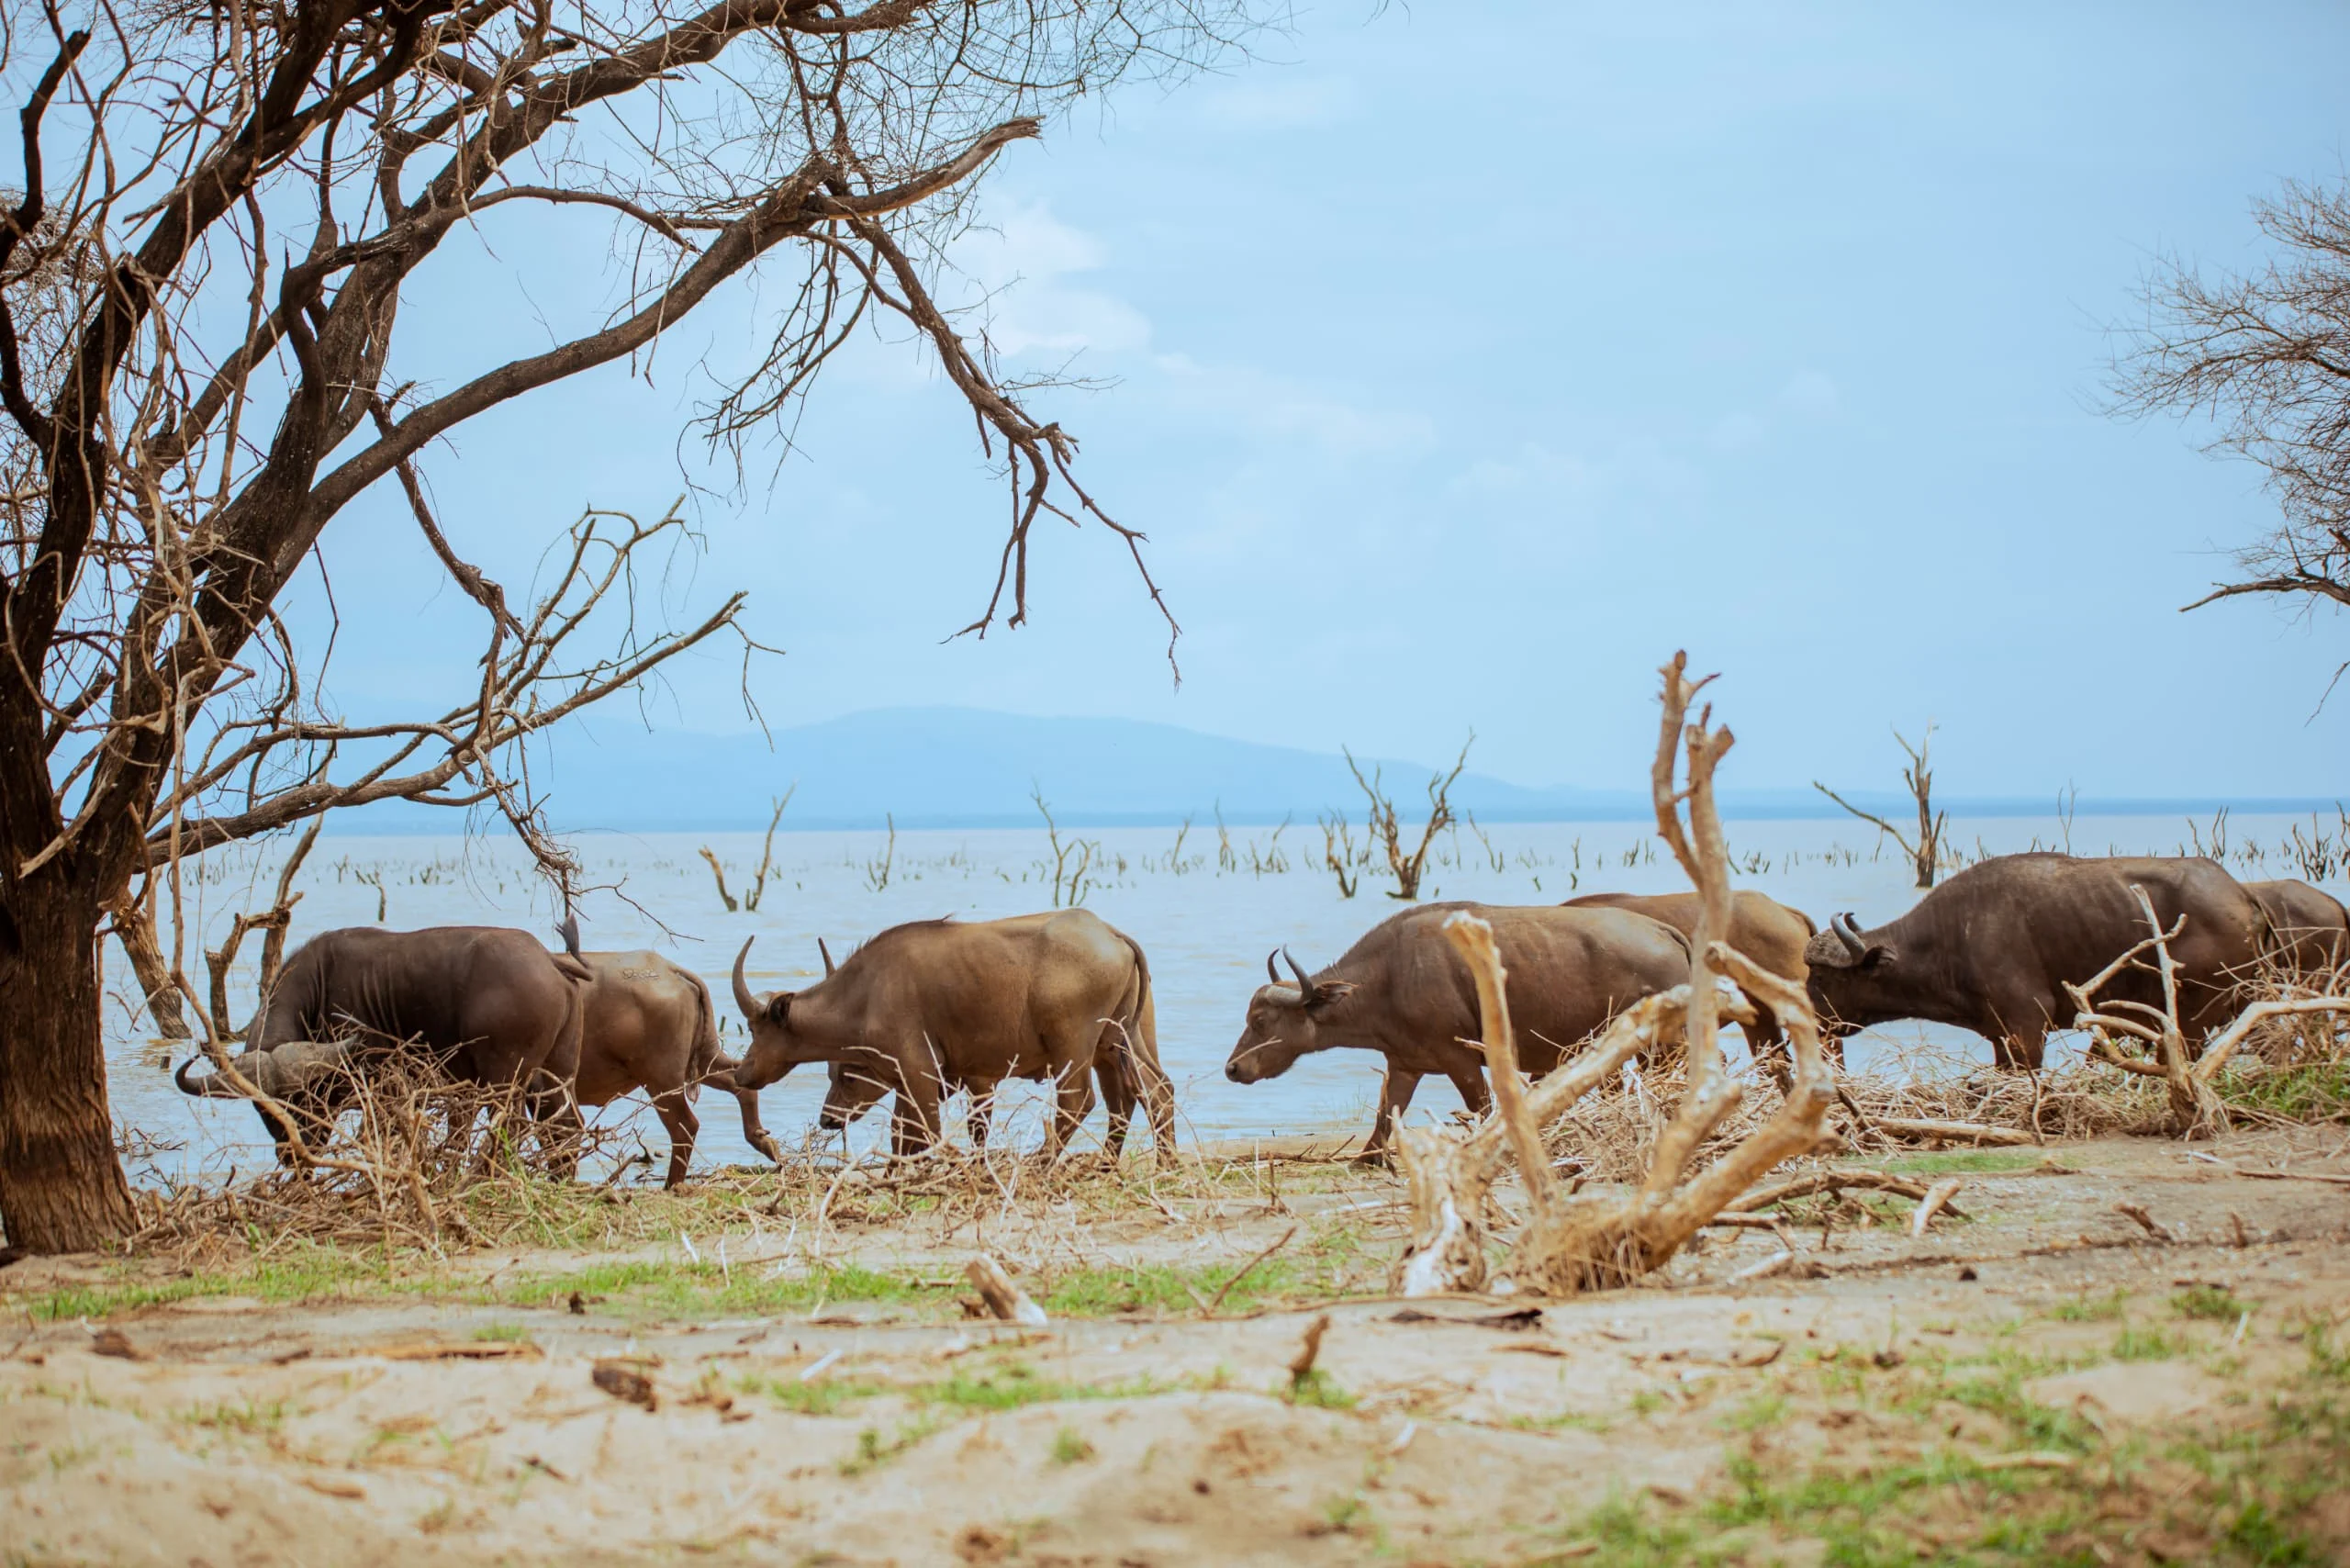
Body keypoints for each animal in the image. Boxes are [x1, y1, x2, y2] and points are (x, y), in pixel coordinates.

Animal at [174, 925, 588, 1158]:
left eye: (306, 1101)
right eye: (267, 1109)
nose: (297, 1151)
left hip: (504, 1079)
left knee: (511, 1128)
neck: (319, 991)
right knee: (564, 1127)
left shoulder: (382, 1094)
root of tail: (547, 959)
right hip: (554, 1074)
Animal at [729, 911, 1174, 1160]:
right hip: (1122, 1044)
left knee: (1080, 1102)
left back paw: (1042, 1162)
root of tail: (1110, 934)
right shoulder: (913, 1082)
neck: (867, 991)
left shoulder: (921, 1073)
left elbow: (926, 1134)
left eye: (754, 1026)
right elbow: (903, 1136)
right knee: (1151, 1094)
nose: (742, 1073)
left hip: (1074, 1050)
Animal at [1223, 901, 1692, 1158]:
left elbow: (1482, 1109)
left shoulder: (1460, 1060)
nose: (1232, 1069)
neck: (1389, 976)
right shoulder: (1405, 1066)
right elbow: (1385, 1116)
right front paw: (1367, 1158)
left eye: (1260, 1021)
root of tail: (1662, 929)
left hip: (1664, 1046)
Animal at [1803, 854, 2269, 1070]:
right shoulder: (2000, 1035)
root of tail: (2240, 896)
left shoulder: (2028, 1026)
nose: (1813, 1019)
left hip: (2193, 1018)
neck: (1949, 937)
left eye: (1822, 977)